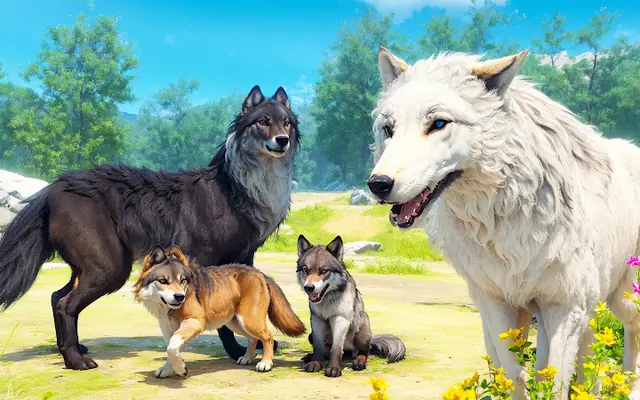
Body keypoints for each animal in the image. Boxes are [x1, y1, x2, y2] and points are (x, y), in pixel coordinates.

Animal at [134, 245, 306, 378]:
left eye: (182, 280)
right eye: (163, 280)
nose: (180, 297)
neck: (168, 309)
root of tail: (259, 273)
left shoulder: (195, 322)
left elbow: (172, 347)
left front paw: (180, 369)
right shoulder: (169, 330)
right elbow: (172, 348)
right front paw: (169, 369)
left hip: (248, 320)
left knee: (268, 337)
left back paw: (266, 363)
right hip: (235, 323)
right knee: (252, 338)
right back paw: (247, 358)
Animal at [296, 234, 406, 377]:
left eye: (324, 271)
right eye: (305, 270)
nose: (308, 288)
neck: (327, 299)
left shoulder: (340, 319)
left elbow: (336, 348)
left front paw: (334, 368)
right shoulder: (316, 320)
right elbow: (319, 347)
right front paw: (315, 363)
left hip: (361, 332)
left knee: (364, 352)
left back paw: (359, 361)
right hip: (310, 335)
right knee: (326, 350)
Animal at [367, 46, 640, 398]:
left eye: (438, 123)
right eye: (388, 129)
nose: (378, 184)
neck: (503, 214)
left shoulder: (564, 305)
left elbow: (551, 381)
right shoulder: (496, 302)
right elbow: (514, 374)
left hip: (623, 296)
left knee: (631, 330)